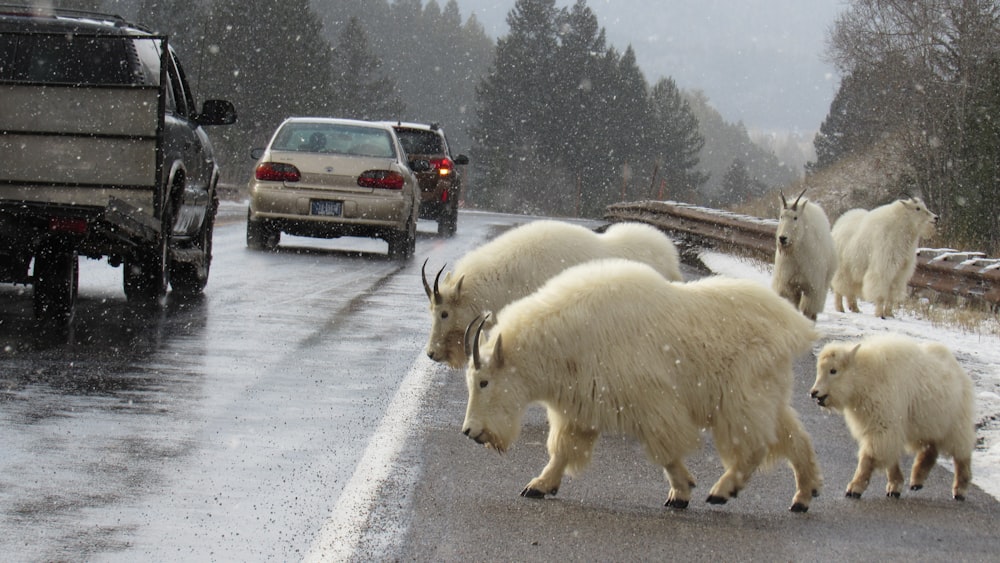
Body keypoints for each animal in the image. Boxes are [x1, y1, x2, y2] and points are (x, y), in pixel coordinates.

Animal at [460, 262, 820, 516]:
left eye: (484, 381)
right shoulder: (582, 406)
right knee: (793, 438)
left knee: (756, 444)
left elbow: (667, 450)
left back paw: (723, 490)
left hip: (741, 395)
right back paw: (804, 494)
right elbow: (563, 450)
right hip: (767, 391)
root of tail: (795, 327)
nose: (471, 432)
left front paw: (681, 491)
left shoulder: (650, 403)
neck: (564, 340)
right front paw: (538, 485)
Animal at [772, 189, 836, 320]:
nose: (782, 238)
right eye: (781, 216)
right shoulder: (789, 284)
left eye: (795, 217)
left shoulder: (813, 288)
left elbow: (808, 311)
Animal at [808, 334, 972, 502]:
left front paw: (854, 488)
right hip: (929, 424)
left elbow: (870, 455)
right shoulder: (882, 423)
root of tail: (958, 369)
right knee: (930, 449)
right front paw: (894, 487)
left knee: (961, 455)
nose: (814, 393)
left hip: (956, 423)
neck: (865, 378)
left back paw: (959, 490)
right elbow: (889, 456)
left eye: (833, 370)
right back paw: (916, 481)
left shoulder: (884, 421)